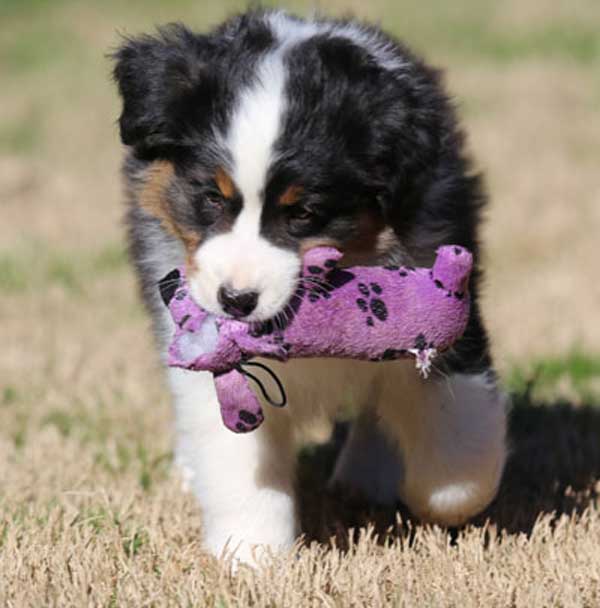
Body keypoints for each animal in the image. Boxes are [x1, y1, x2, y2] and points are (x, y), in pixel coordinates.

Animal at [111, 8, 506, 564]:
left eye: (303, 212)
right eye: (211, 197)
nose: (237, 301)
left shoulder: (443, 284)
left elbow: (457, 445)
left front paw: (441, 497)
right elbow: (235, 452)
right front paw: (251, 554)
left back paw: (370, 474)